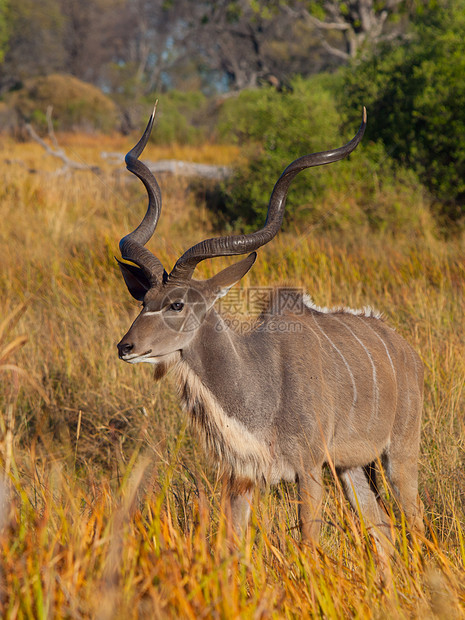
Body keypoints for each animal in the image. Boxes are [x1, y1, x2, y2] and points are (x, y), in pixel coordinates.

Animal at [117, 108, 424, 556]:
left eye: (177, 304)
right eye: (143, 301)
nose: (126, 347)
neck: (259, 383)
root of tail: (408, 352)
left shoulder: (309, 469)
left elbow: (309, 542)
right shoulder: (242, 477)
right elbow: (231, 545)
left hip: (399, 455)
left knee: (415, 523)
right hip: (350, 468)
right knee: (381, 530)